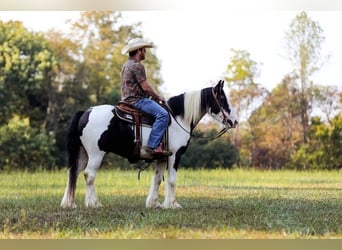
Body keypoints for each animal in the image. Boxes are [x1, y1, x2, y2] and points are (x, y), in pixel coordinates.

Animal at [60, 80, 238, 209]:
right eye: (222, 98)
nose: (235, 121)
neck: (178, 118)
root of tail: (86, 112)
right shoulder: (175, 155)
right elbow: (172, 180)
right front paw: (173, 204)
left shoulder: (162, 158)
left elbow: (157, 179)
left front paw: (154, 203)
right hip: (96, 153)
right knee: (89, 174)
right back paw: (94, 203)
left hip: (83, 153)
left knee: (73, 173)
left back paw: (70, 203)